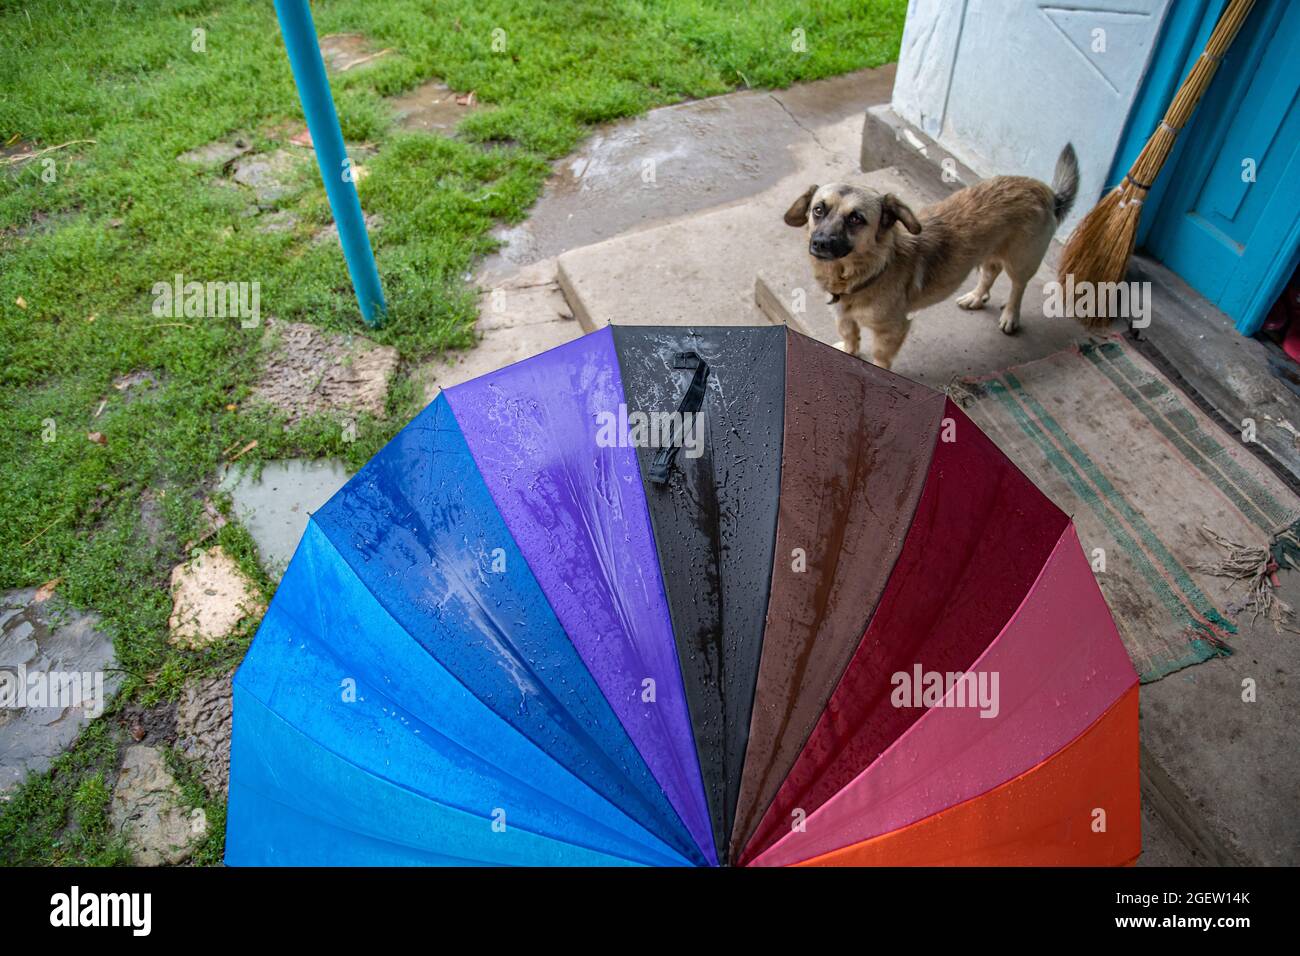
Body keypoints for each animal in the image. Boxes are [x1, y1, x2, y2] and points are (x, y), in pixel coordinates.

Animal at [780, 145, 1076, 369]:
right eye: (818, 210)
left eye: (856, 218)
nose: (819, 243)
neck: (866, 272)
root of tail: (1044, 190)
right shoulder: (844, 317)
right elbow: (850, 336)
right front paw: (848, 351)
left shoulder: (891, 330)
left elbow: (880, 357)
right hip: (989, 251)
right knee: (990, 271)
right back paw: (976, 297)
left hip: (1021, 260)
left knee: (1018, 286)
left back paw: (1010, 316)